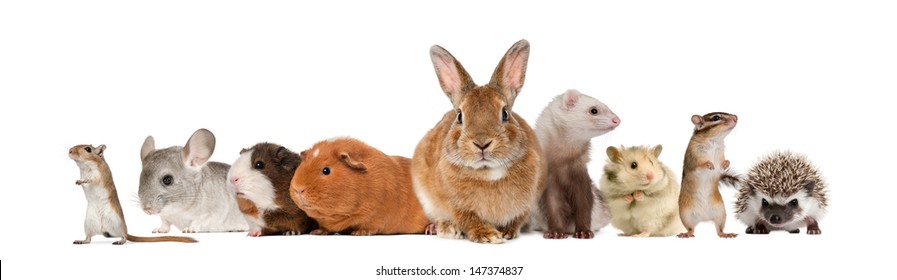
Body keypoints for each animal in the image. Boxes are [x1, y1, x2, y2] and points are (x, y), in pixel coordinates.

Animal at [412, 39, 544, 243]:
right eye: (459, 116)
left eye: (505, 113)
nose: (482, 144)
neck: (488, 172)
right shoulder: (456, 206)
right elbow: (469, 220)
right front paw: (489, 236)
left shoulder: (526, 205)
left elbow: (516, 220)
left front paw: (507, 232)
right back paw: (443, 229)